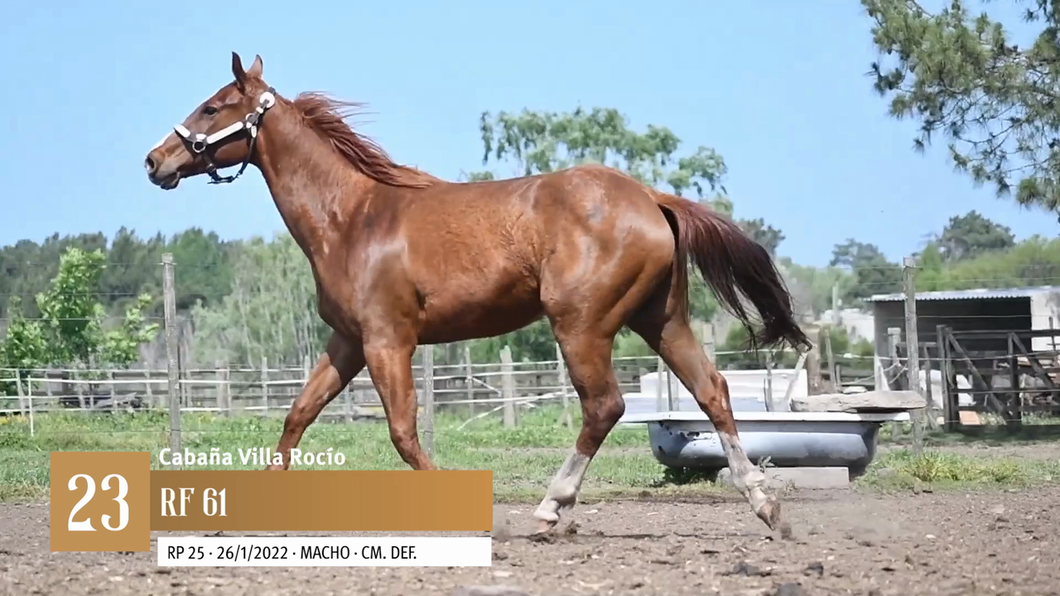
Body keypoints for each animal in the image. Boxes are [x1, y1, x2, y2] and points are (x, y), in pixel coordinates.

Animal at [145, 52, 809, 534]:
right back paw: (764, 505)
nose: (155, 161)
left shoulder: (388, 342)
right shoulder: (348, 342)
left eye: (211, 107)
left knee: (605, 407)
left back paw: (551, 507)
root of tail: (651, 198)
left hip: (581, 326)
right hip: (660, 320)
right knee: (712, 390)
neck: (352, 219)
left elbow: (403, 433)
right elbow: (298, 415)